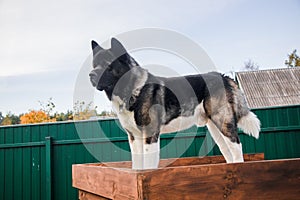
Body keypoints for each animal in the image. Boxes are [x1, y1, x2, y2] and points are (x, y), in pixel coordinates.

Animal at [89, 37, 260, 169]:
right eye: (94, 65)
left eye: (108, 65)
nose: (91, 75)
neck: (134, 88)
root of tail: (223, 77)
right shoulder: (134, 138)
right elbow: (137, 167)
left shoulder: (150, 135)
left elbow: (148, 166)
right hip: (215, 128)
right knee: (227, 151)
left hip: (223, 122)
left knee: (237, 147)